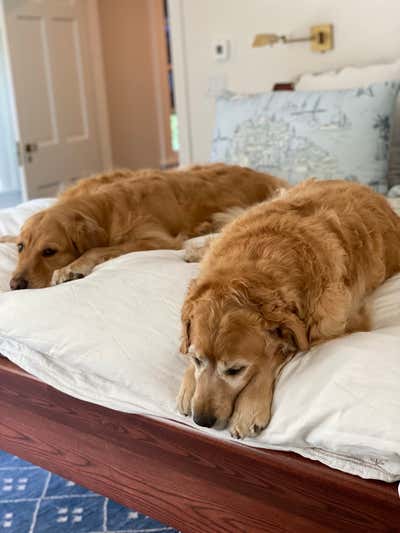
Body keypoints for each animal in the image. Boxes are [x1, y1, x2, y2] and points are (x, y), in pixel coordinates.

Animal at [5, 163, 284, 288]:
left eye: (49, 251)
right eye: (21, 247)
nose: (15, 285)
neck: (106, 208)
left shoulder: (156, 239)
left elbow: (97, 248)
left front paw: (71, 268)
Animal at [177, 179, 400, 436]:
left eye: (235, 370)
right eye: (197, 360)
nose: (202, 420)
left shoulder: (340, 325)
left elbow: (274, 355)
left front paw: (249, 408)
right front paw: (189, 384)